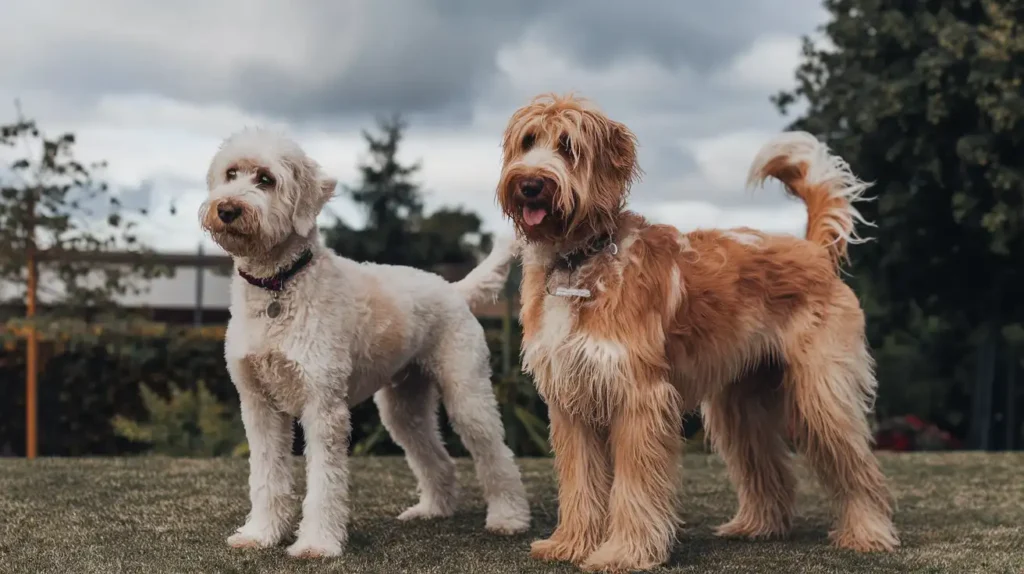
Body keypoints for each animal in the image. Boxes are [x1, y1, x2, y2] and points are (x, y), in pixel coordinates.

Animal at [197, 128, 528, 556]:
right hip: (403, 407)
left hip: (467, 394)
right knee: (438, 459)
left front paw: (316, 544)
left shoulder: (323, 406)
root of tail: (455, 289)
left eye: (266, 180)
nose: (226, 209)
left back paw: (509, 519)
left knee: (497, 455)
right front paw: (260, 534)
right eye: (231, 173)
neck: (280, 284)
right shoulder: (258, 405)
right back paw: (432, 510)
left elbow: (324, 481)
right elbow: (266, 477)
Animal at [495, 94, 897, 568]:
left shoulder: (639, 398)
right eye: (528, 141)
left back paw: (868, 533)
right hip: (740, 405)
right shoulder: (572, 403)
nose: (530, 184)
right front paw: (570, 544)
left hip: (821, 393)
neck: (579, 259)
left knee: (859, 468)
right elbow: (580, 482)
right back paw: (757, 526)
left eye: (568, 146)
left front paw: (624, 552)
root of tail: (813, 251)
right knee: (769, 469)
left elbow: (634, 487)